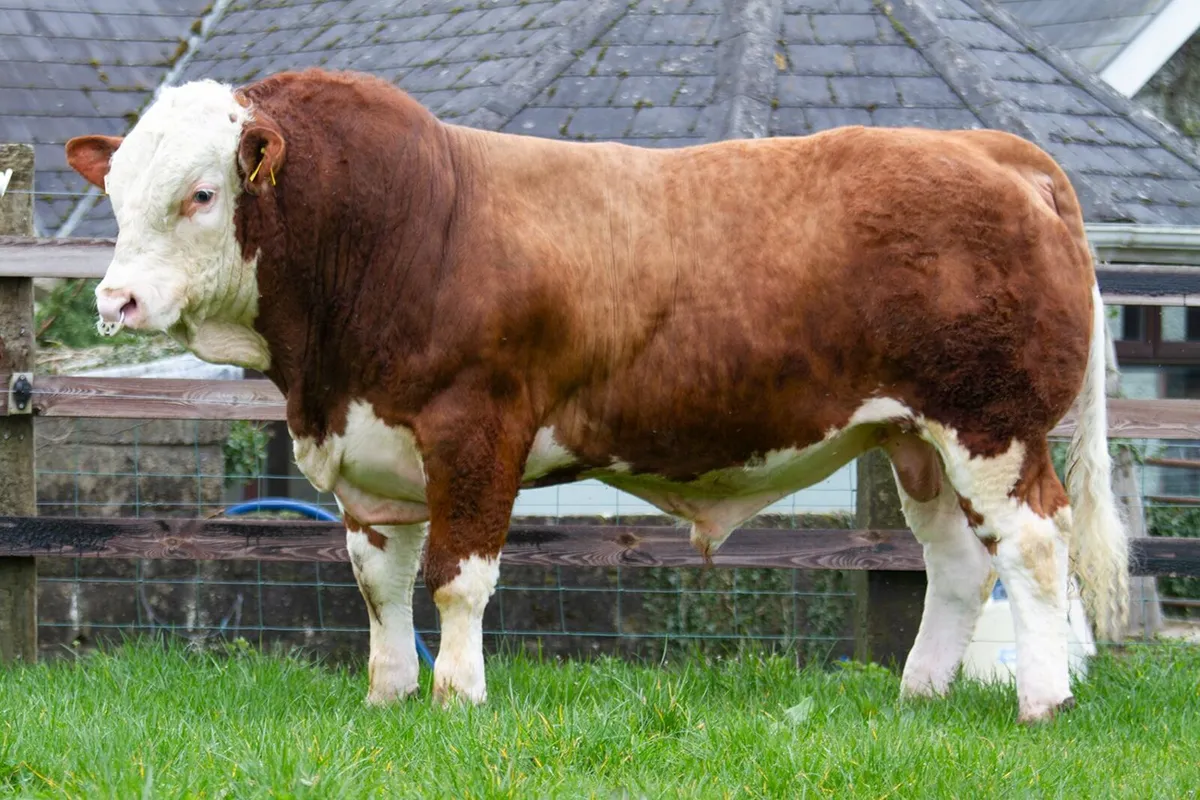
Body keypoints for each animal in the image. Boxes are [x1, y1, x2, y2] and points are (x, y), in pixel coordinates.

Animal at [66, 67, 1128, 724]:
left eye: (202, 194)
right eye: (115, 193)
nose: (114, 299)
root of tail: (992, 149)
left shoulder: (475, 430)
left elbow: (458, 576)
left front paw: (457, 698)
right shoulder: (370, 456)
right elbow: (379, 583)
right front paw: (388, 693)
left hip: (991, 424)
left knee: (1035, 547)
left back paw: (1041, 701)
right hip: (916, 438)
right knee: (957, 562)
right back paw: (920, 694)